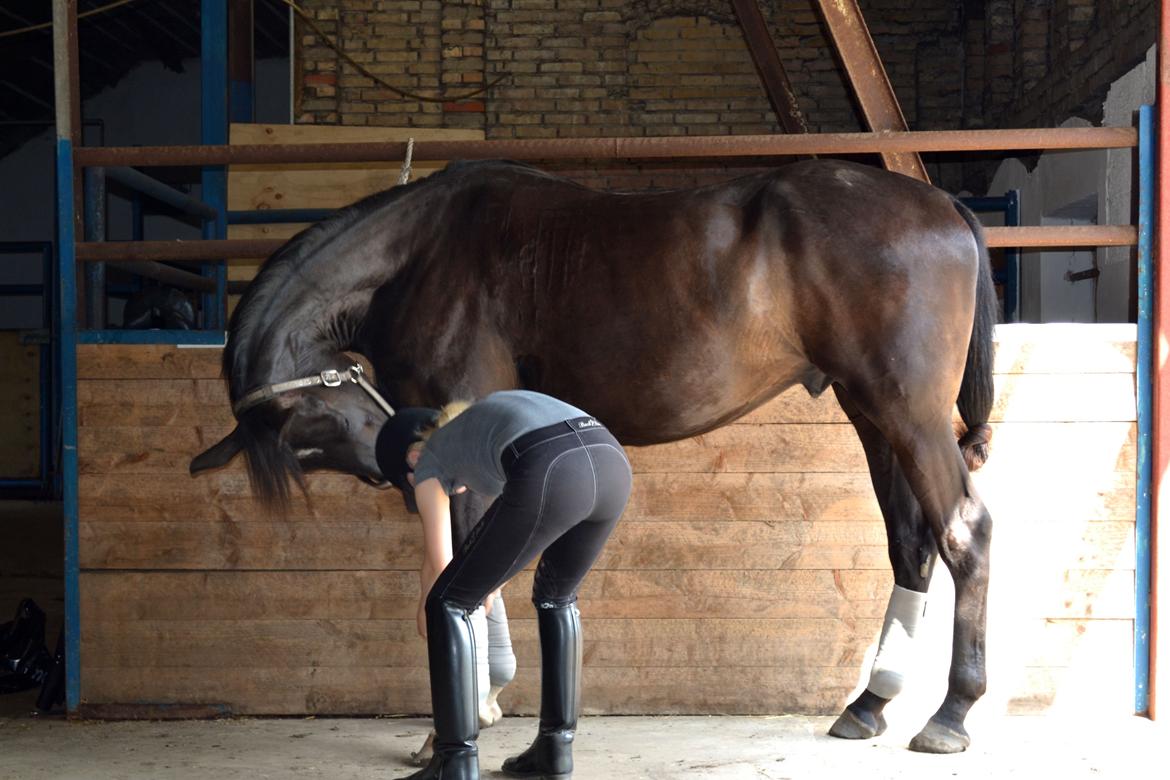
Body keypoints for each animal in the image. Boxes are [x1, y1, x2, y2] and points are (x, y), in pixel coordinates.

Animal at [191, 160, 996, 757]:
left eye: (313, 426)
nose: (402, 461)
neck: (419, 254)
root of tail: (943, 206)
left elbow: (466, 567)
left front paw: (463, 714)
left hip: (909, 414)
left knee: (964, 533)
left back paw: (951, 714)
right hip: (871, 412)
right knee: (911, 543)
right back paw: (870, 703)